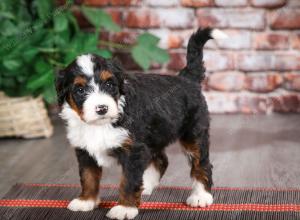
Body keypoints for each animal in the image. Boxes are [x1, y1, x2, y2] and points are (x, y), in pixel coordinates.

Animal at [55, 27, 225, 220]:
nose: (102, 108)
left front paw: (125, 208)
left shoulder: (133, 150)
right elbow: (88, 176)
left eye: (109, 84)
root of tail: (186, 78)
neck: (101, 125)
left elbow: (128, 180)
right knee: (161, 160)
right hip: (155, 135)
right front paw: (86, 201)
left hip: (194, 132)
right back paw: (146, 186)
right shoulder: (85, 150)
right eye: (80, 90)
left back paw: (201, 196)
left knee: (201, 163)